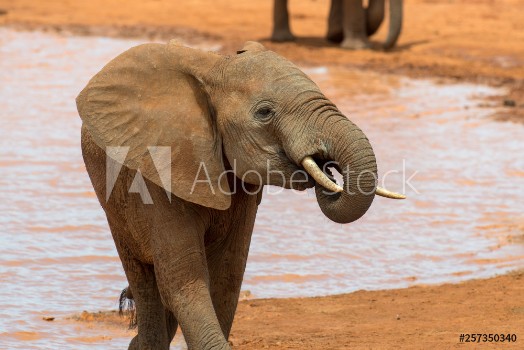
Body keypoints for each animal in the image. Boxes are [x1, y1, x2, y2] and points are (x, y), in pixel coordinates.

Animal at [77, 39, 406, 348]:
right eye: (264, 112)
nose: (327, 165)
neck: (216, 69)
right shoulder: (160, 170)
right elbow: (184, 280)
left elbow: (228, 276)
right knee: (146, 282)